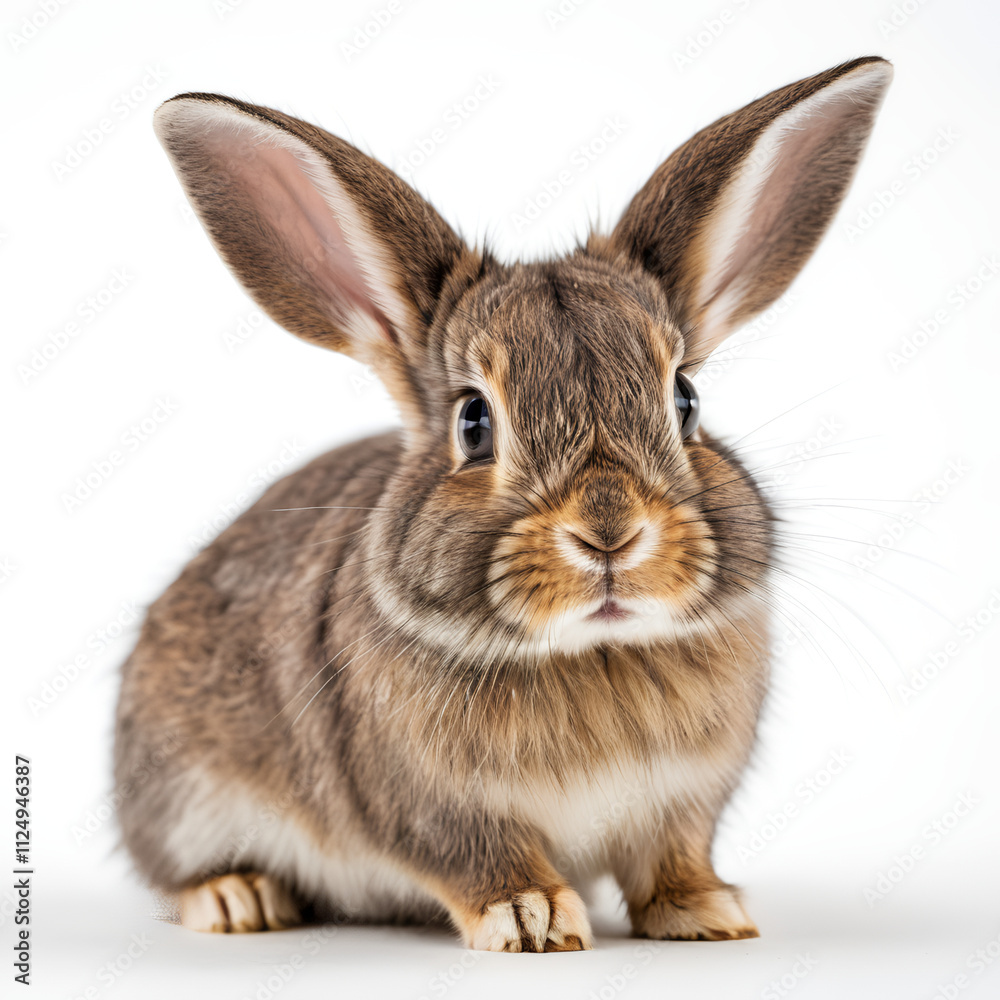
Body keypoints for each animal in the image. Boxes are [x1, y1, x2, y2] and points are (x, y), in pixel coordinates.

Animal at [114, 56, 892, 951]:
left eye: (686, 399)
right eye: (474, 422)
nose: (609, 533)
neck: (591, 651)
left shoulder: (684, 806)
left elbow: (675, 856)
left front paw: (708, 913)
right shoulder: (435, 808)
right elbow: (481, 857)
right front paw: (533, 918)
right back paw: (237, 898)